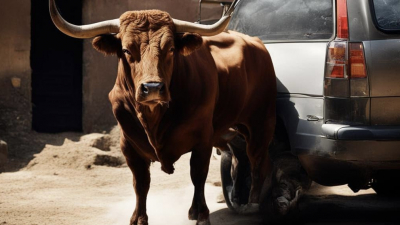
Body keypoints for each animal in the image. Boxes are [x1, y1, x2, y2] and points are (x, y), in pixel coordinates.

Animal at [49, 0, 276, 224]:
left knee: (258, 161)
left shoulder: (203, 141)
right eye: (127, 50)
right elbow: (141, 183)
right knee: (239, 159)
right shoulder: (129, 146)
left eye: (171, 48)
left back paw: (252, 204)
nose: (152, 88)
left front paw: (202, 214)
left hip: (260, 123)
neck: (154, 118)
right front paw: (139, 218)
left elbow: (198, 175)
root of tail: (255, 43)